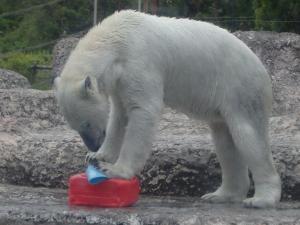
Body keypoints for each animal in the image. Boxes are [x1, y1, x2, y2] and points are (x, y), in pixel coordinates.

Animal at [54, 10, 282, 207]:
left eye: (86, 123)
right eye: (75, 127)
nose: (92, 144)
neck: (117, 38)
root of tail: (262, 69)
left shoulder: (139, 61)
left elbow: (143, 110)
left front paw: (115, 170)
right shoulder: (120, 81)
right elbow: (119, 116)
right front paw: (97, 156)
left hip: (240, 88)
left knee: (247, 136)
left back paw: (260, 199)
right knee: (225, 143)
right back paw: (220, 195)